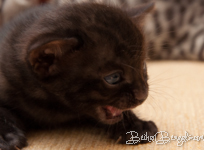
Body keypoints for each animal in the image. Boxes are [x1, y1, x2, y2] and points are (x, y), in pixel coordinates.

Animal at [0, 1, 158, 149]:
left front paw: (135, 126)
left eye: (143, 66)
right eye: (113, 78)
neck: (56, 106)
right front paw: (4, 138)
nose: (143, 95)